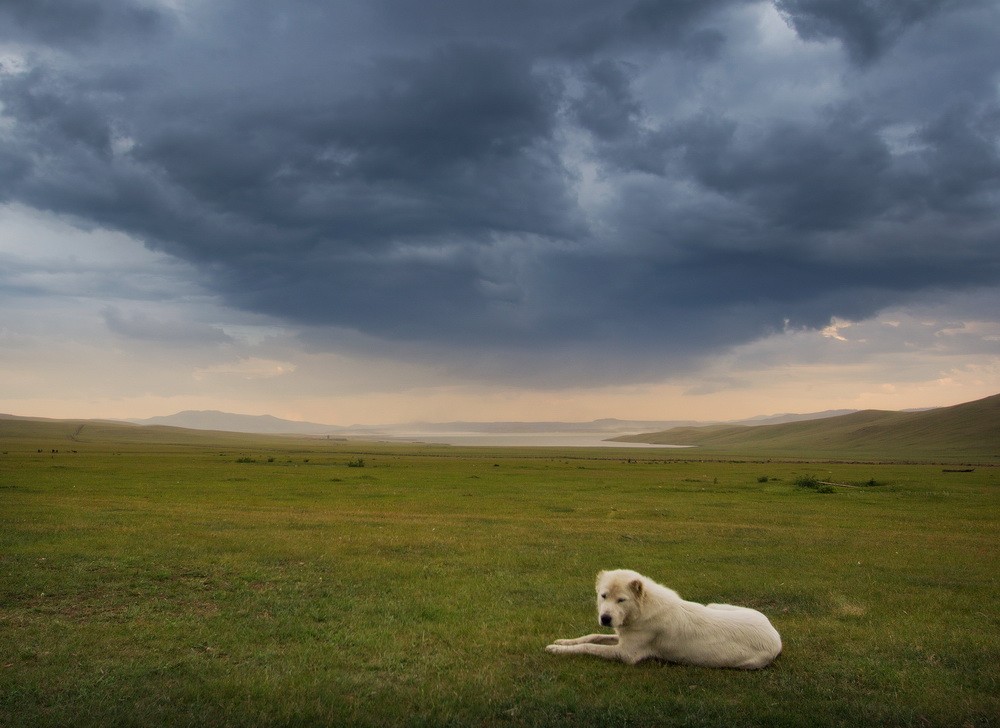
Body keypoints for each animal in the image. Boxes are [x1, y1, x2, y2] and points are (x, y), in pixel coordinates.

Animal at [548, 568, 780, 672]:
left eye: (621, 600)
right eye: (603, 596)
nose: (605, 618)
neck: (641, 610)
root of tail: (776, 637)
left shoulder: (625, 653)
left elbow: (589, 647)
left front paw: (557, 649)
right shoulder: (621, 636)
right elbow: (592, 636)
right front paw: (563, 641)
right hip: (716, 605)